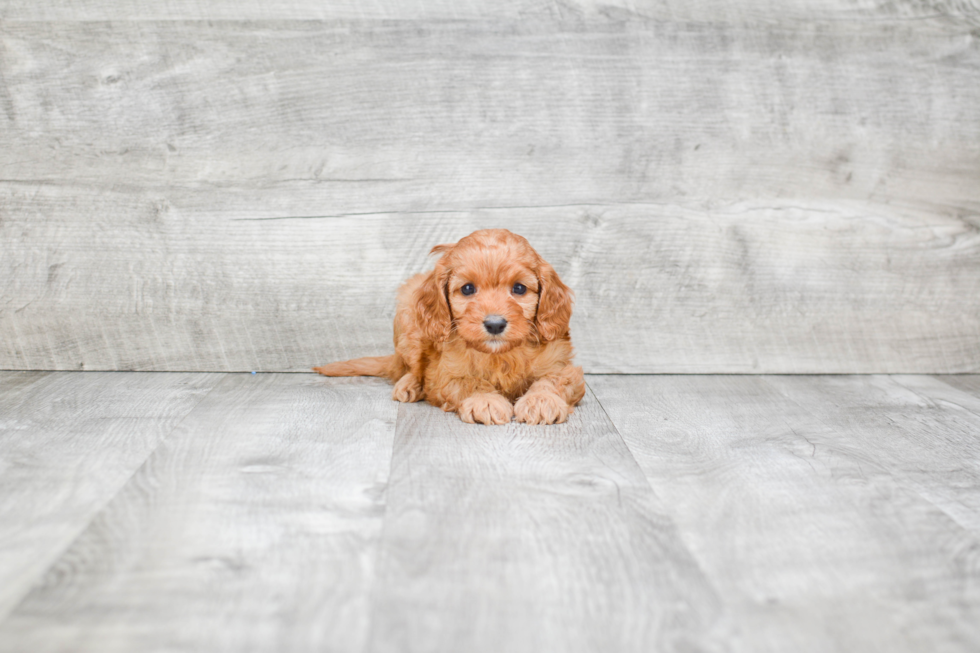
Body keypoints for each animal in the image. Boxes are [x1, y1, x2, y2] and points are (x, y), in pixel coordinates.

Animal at [318, 228, 584, 422]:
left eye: (519, 288)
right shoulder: (445, 373)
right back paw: (409, 385)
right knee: (409, 367)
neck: (499, 355)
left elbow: (552, 380)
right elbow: (470, 381)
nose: (495, 324)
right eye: (467, 289)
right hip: (407, 315)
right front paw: (485, 400)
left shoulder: (563, 365)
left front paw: (541, 400)